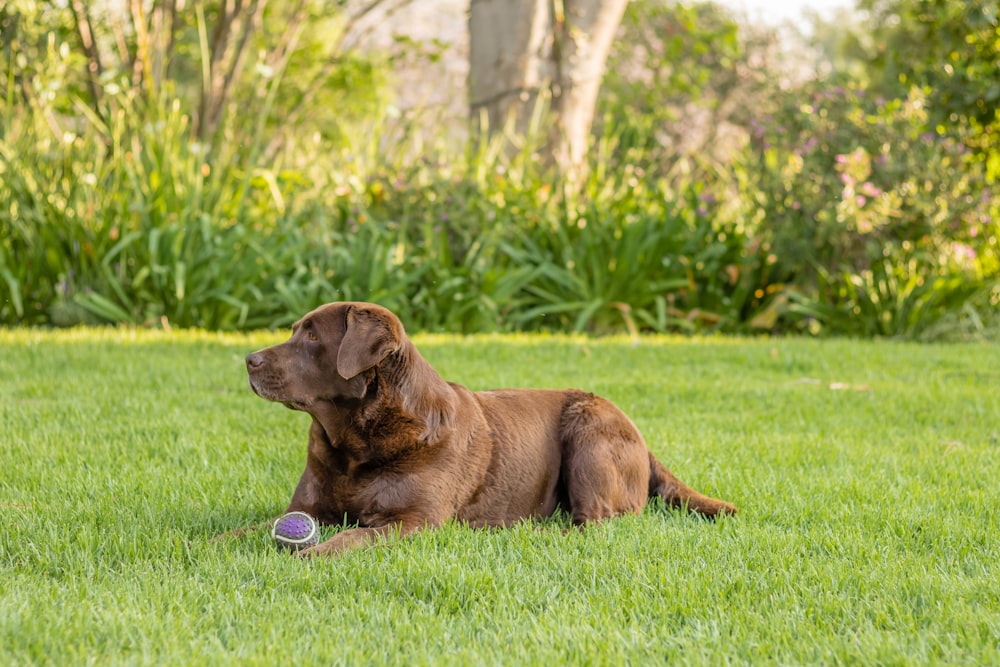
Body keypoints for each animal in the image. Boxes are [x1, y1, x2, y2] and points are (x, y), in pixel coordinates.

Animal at [244, 302, 736, 560]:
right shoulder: (310, 507)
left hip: (589, 432)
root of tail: (641, 437)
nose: (248, 359)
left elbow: (352, 536)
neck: (354, 442)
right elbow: (245, 530)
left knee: (594, 521)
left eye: (312, 338)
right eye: (295, 330)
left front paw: (311, 553)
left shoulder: (413, 521)